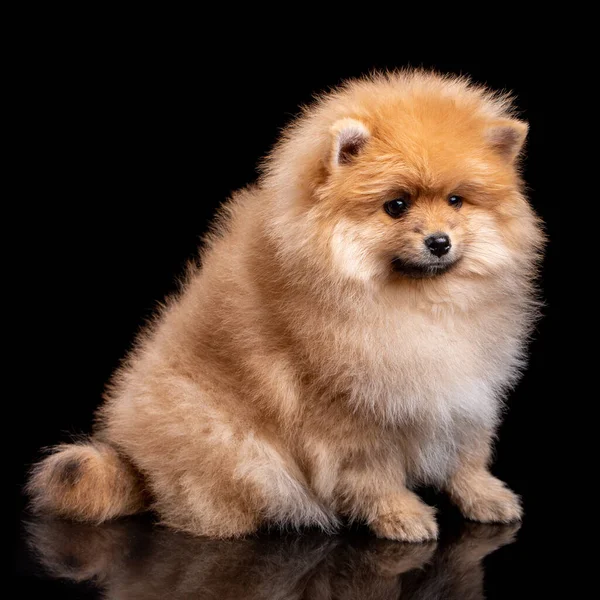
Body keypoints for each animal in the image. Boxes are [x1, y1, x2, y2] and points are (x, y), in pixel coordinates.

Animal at [28, 69, 544, 540]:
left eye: (456, 201)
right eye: (396, 205)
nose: (439, 241)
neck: (414, 302)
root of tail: (138, 465)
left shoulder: (464, 391)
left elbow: (468, 456)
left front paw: (486, 496)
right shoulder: (352, 411)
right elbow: (374, 473)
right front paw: (401, 515)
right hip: (224, 438)